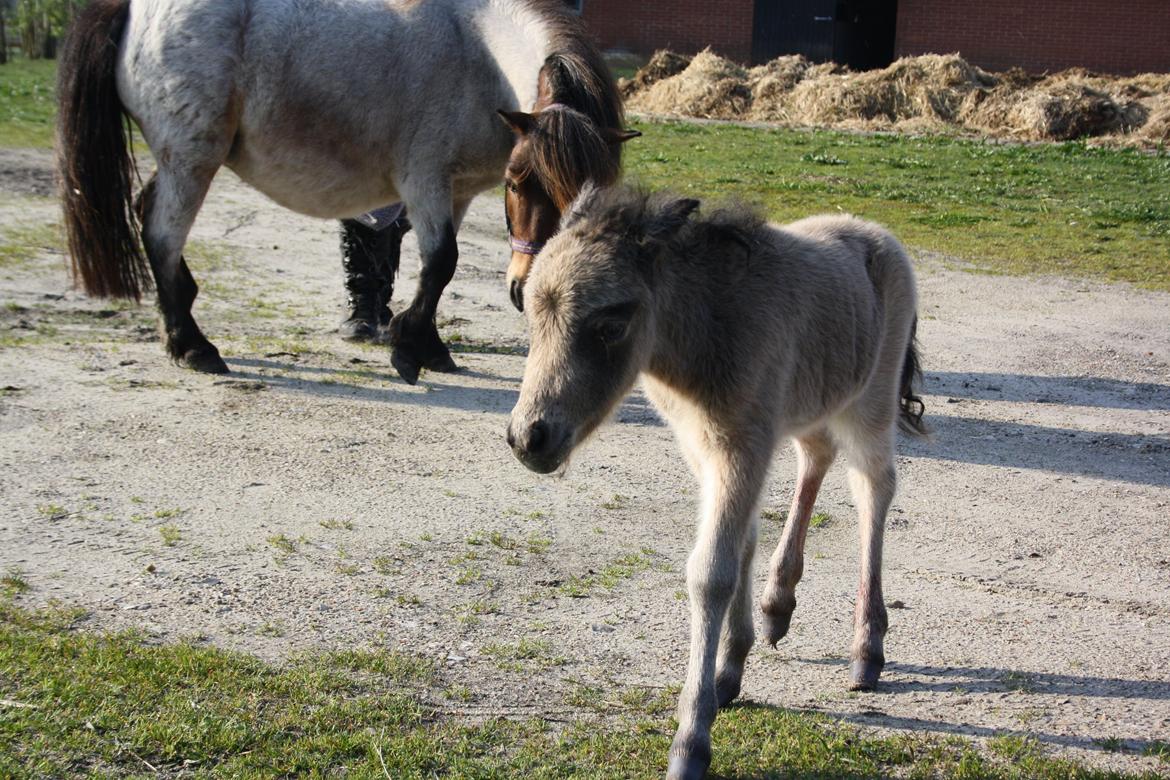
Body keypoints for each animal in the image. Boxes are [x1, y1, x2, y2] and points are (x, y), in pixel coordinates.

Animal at [58, 0, 636, 381]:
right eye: (517, 181)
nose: (523, 289)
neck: (476, 51)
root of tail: (134, 10)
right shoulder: (424, 182)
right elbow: (441, 262)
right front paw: (409, 349)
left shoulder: (458, 192)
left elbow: (438, 272)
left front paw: (428, 346)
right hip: (192, 160)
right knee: (161, 234)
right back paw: (192, 346)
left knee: (148, 216)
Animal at [507, 184, 926, 780]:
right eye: (531, 314)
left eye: (611, 325)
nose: (529, 438)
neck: (707, 328)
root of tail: (875, 232)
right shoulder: (709, 447)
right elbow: (743, 542)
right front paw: (731, 666)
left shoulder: (739, 446)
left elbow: (710, 574)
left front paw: (690, 741)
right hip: (808, 403)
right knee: (815, 456)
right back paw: (779, 605)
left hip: (870, 401)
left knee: (874, 488)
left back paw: (866, 649)